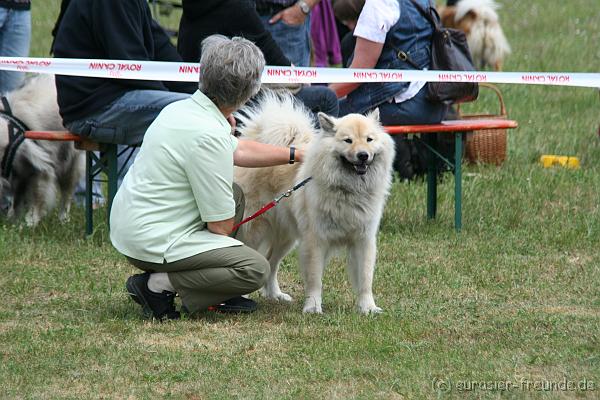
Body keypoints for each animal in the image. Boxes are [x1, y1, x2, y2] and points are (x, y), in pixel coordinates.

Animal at [0, 74, 84, 225]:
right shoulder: (19, 172)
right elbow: (17, 201)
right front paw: (13, 221)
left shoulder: (39, 169)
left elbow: (36, 198)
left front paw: (30, 223)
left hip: (70, 162)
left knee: (67, 193)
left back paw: (63, 219)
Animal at [233, 94, 394, 316]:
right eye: (348, 140)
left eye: (369, 140)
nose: (363, 155)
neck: (348, 190)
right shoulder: (316, 240)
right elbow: (315, 278)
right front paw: (313, 306)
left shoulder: (364, 240)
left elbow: (365, 279)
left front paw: (368, 308)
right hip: (255, 231)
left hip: (287, 236)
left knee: (271, 263)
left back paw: (275, 295)